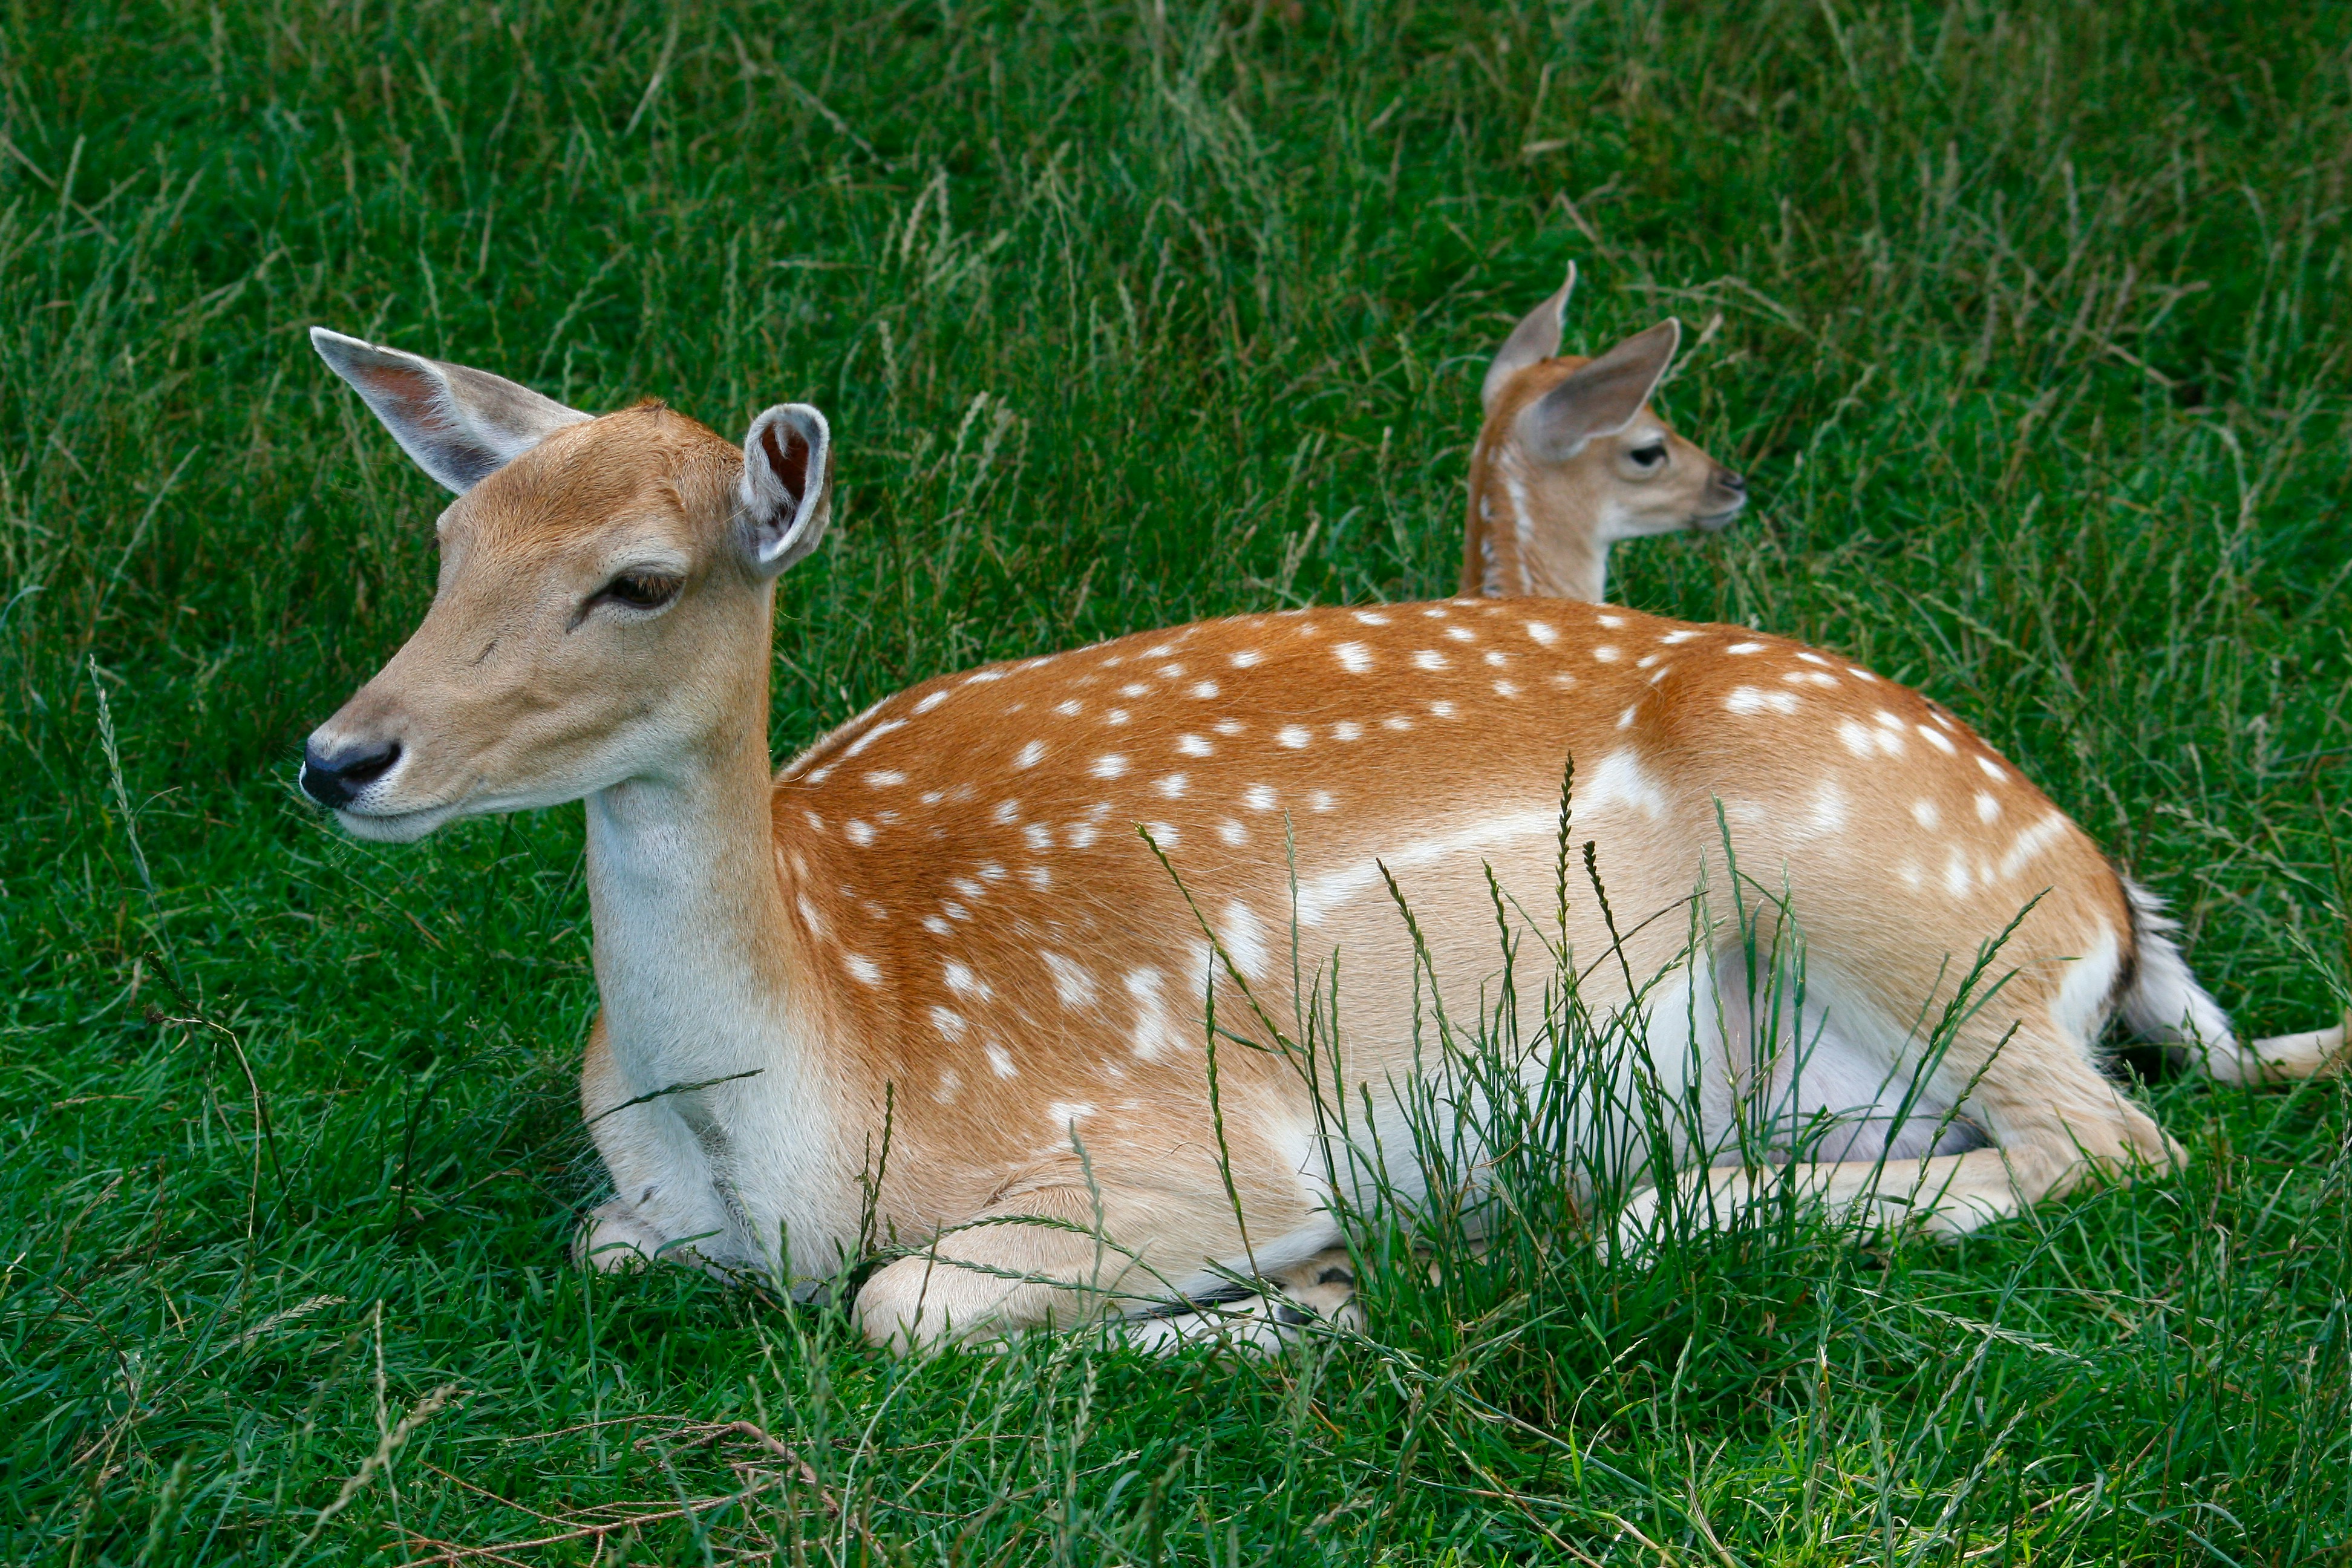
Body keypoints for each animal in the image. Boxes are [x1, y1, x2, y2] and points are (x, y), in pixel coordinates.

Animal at [298, 328, 2345, 1352]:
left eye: (639, 581)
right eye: (449, 544)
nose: (338, 755)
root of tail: (2108, 901)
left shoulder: (1203, 1153)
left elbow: (899, 1306)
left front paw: (1307, 1306)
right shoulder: (639, 1220)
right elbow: (607, 1251)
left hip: (1908, 906)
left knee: (2121, 1144)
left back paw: (1634, 1217)